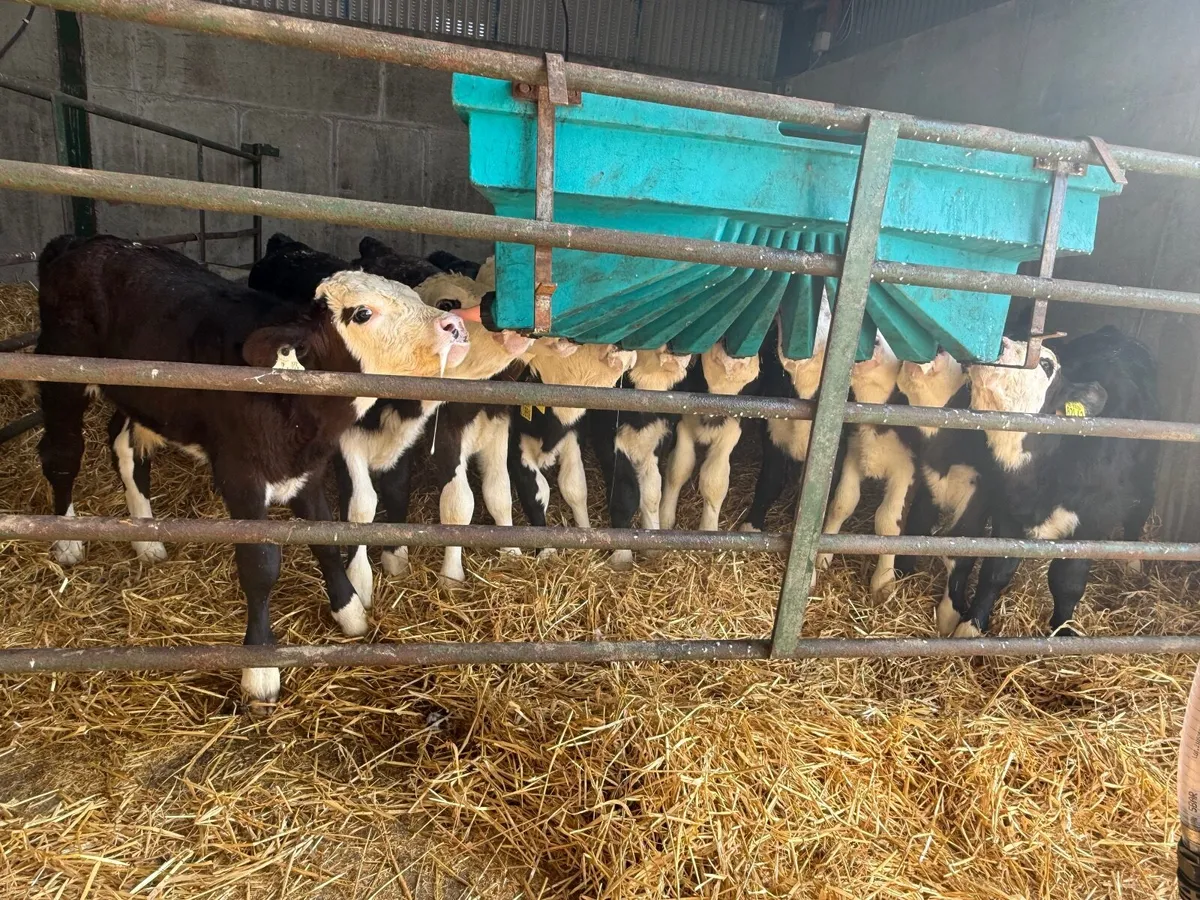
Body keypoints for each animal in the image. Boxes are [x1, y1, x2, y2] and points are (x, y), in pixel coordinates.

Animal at [35, 235, 467, 707]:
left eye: (413, 294)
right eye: (361, 313)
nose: (454, 325)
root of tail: (81, 241)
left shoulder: (307, 470)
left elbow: (326, 540)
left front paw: (349, 611)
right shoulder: (241, 478)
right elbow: (260, 566)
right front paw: (260, 668)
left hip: (141, 394)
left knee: (123, 444)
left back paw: (146, 538)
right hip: (62, 375)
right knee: (62, 454)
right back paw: (68, 539)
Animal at [659, 342, 761, 531]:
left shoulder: (731, 433)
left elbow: (714, 480)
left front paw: (708, 529)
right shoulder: (682, 424)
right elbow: (678, 468)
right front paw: (664, 518)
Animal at [947, 327, 1159, 637]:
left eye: (1046, 364)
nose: (997, 342)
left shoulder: (1091, 521)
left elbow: (1067, 582)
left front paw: (1063, 631)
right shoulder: (1006, 511)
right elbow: (996, 571)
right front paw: (971, 625)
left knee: (1140, 509)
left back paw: (1132, 561)